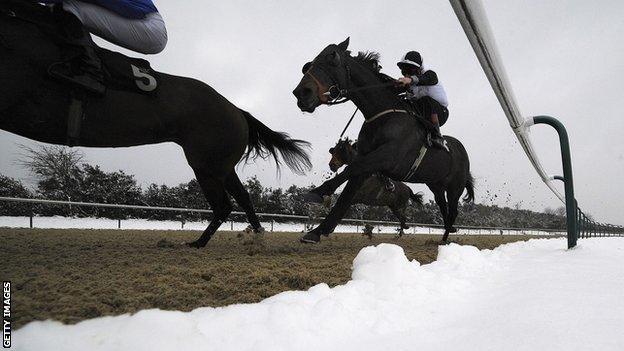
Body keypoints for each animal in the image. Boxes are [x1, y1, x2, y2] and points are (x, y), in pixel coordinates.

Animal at [0, 0, 312, 248]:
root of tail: (235, 109)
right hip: (221, 164)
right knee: (242, 197)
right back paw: (255, 235)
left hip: (205, 163)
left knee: (223, 205)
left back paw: (198, 243)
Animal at [292, 37, 472, 243]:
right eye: (309, 64)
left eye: (333, 58)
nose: (301, 93)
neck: (382, 116)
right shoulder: (366, 164)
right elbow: (346, 195)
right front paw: (317, 231)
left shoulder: (387, 156)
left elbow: (350, 170)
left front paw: (318, 192)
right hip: (436, 185)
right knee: (443, 209)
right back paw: (442, 238)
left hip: (455, 187)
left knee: (452, 211)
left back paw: (445, 240)